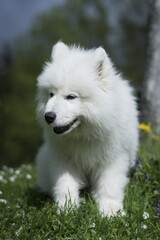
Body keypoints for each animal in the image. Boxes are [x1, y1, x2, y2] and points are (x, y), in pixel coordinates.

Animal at [35, 41, 138, 218]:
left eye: (71, 97)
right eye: (51, 94)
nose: (48, 116)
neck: (85, 134)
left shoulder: (113, 159)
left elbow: (109, 187)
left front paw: (110, 212)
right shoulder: (64, 159)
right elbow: (65, 185)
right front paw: (66, 209)